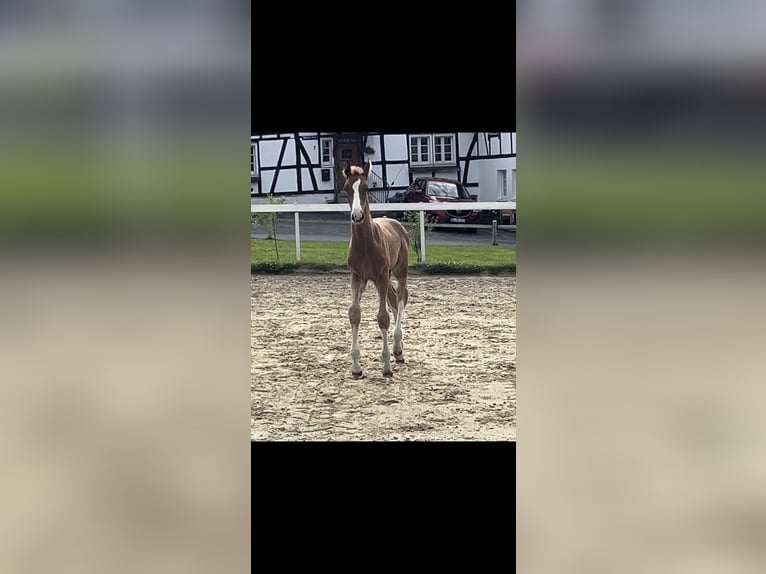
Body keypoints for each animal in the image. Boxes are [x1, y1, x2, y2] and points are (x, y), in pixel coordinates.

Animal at [344, 162, 412, 378]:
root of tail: (396, 223)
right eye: (347, 188)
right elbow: (354, 313)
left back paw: (398, 349)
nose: (357, 216)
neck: (367, 244)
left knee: (401, 297)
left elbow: (383, 317)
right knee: (393, 299)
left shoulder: (381, 276)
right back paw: (398, 348)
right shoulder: (357, 277)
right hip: (383, 278)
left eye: (366, 188)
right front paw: (356, 367)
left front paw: (386, 366)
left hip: (399, 271)